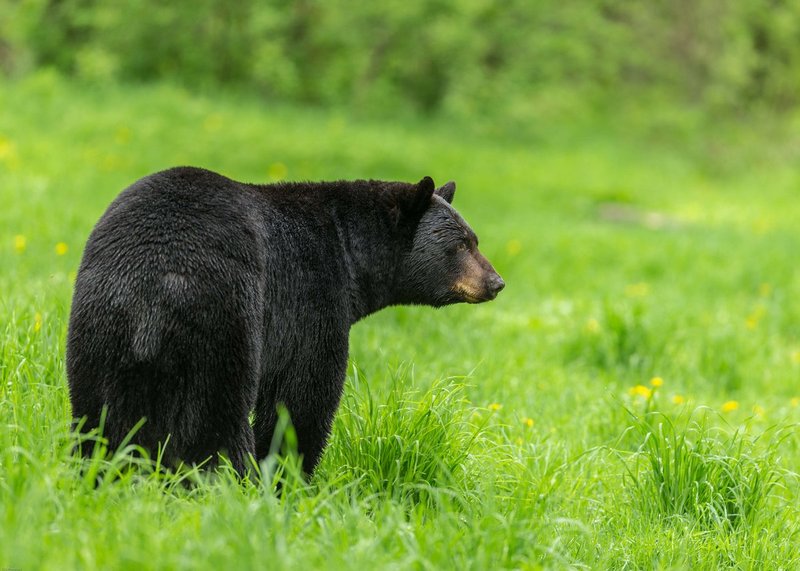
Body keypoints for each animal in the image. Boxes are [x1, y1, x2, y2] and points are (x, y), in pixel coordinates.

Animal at [66, 167, 505, 477]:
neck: (350, 250)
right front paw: (287, 475)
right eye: (460, 244)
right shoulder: (311, 295)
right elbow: (303, 392)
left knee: (97, 413)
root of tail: (155, 286)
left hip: (99, 326)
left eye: (474, 239)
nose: (496, 282)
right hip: (223, 322)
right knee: (215, 419)